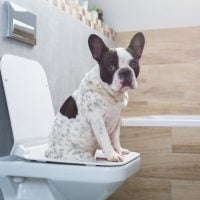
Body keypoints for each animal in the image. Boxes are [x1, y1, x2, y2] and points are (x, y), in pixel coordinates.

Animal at [45, 32, 145, 162]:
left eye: (133, 64)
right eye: (111, 67)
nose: (125, 71)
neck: (112, 94)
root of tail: (48, 153)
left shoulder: (117, 121)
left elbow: (115, 139)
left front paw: (119, 150)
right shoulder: (97, 121)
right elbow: (106, 140)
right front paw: (112, 155)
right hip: (83, 157)